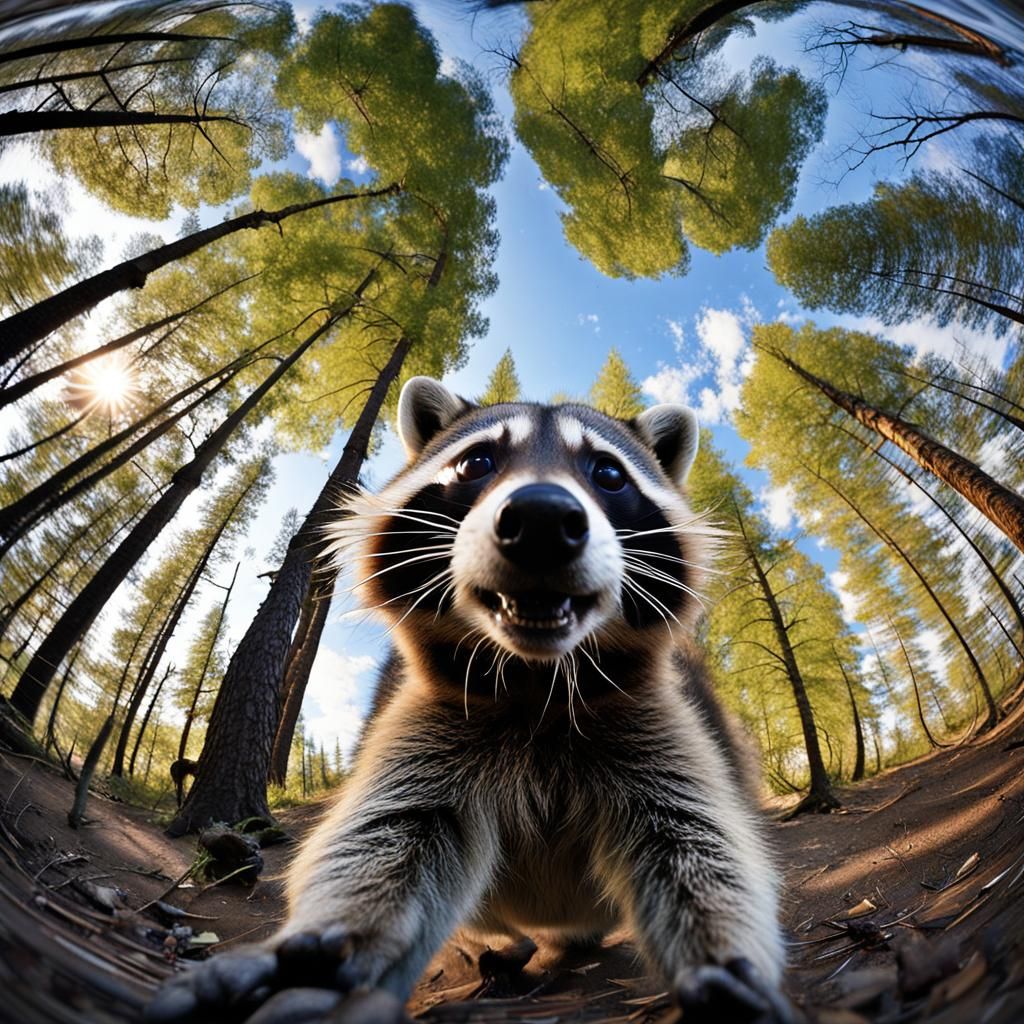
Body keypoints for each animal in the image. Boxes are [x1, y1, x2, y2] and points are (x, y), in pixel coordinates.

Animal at [147, 379, 790, 1024]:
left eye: (608, 473)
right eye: (476, 462)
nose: (541, 518)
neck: (536, 678)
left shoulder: (653, 719)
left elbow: (695, 837)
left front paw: (720, 955)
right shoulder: (429, 719)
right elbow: (390, 834)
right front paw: (340, 942)